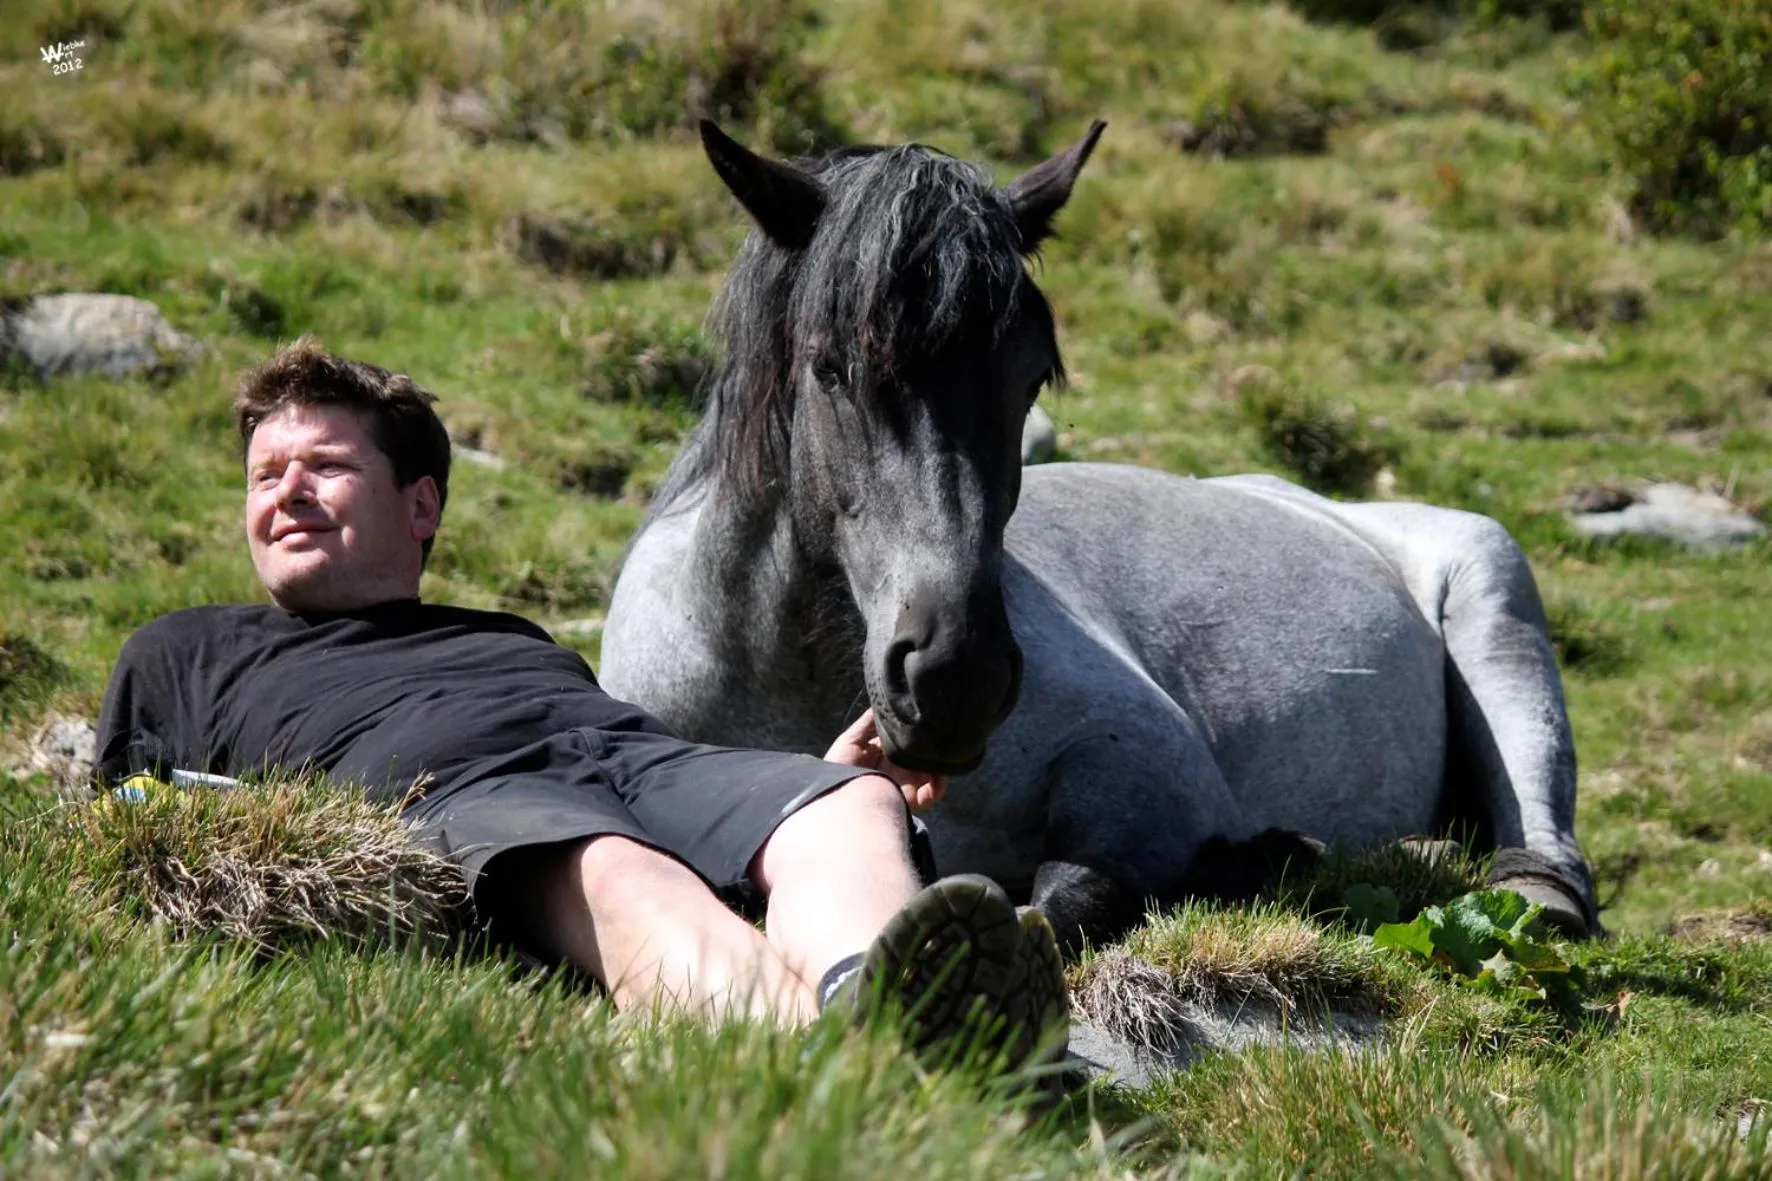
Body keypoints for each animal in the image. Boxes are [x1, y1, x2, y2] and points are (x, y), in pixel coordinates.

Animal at [599, 120, 1598, 952]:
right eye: (830, 368)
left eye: (1031, 373)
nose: (956, 677)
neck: (774, 688)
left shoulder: (1150, 769)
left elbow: (1067, 894)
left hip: (1495, 598)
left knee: (1544, 839)